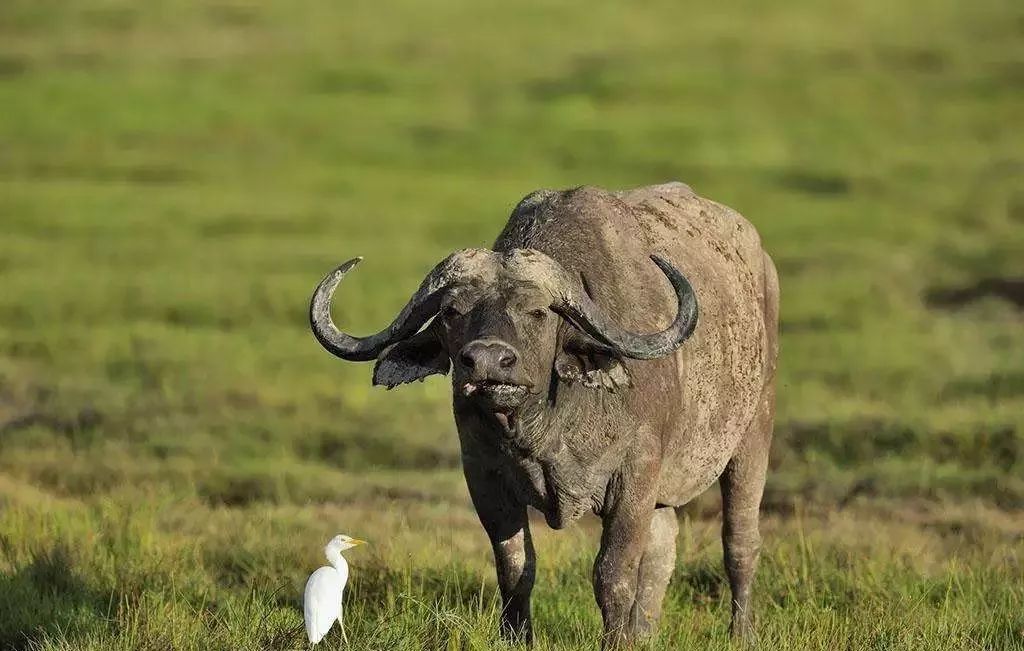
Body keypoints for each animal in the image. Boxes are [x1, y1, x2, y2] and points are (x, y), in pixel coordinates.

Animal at [307, 182, 778, 646]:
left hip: (752, 438)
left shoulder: (636, 474)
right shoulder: (484, 477)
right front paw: (519, 637)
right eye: (452, 312)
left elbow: (614, 574)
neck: (546, 428)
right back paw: (645, 634)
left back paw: (740, 632)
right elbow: (516, 568)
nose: (487, 361)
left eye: (536, 312)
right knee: (662, 553)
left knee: (739, 541)